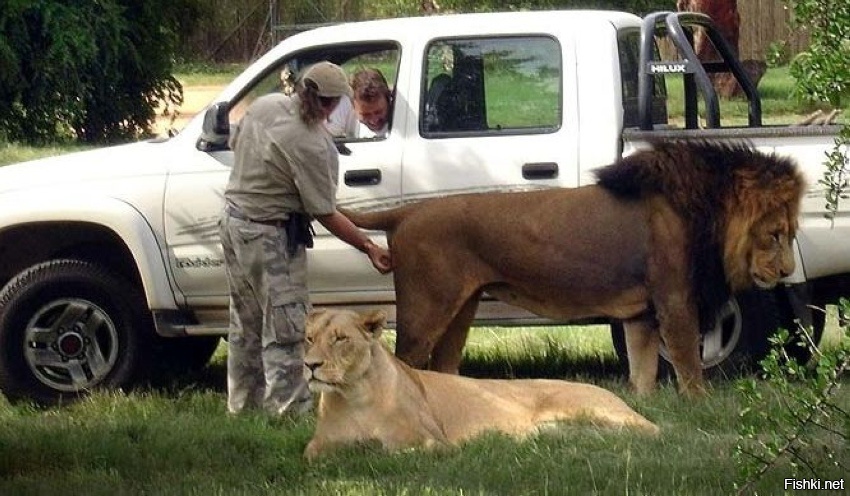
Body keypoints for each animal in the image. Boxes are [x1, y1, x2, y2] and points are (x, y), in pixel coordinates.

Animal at [302, 308, 660, 460]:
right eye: (309, 338)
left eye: (340, 339)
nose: (310, 365)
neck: (354, 394)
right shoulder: (316, 447)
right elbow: (315, 454)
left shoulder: (434, 442)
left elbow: (396, 451)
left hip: (592, 409)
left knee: (654, 430)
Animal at [342, 140, 804, 396]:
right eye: (775, 234)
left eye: (791, 233)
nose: (785, 272)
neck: (706, 214)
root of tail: (406, 212)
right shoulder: (674, 300)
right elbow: (689, 364)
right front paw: (698, 404)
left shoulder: (640, 314)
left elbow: (643, 372)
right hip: (426, 308)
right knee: (403, 362)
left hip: (461, 307)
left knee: (444, 367)